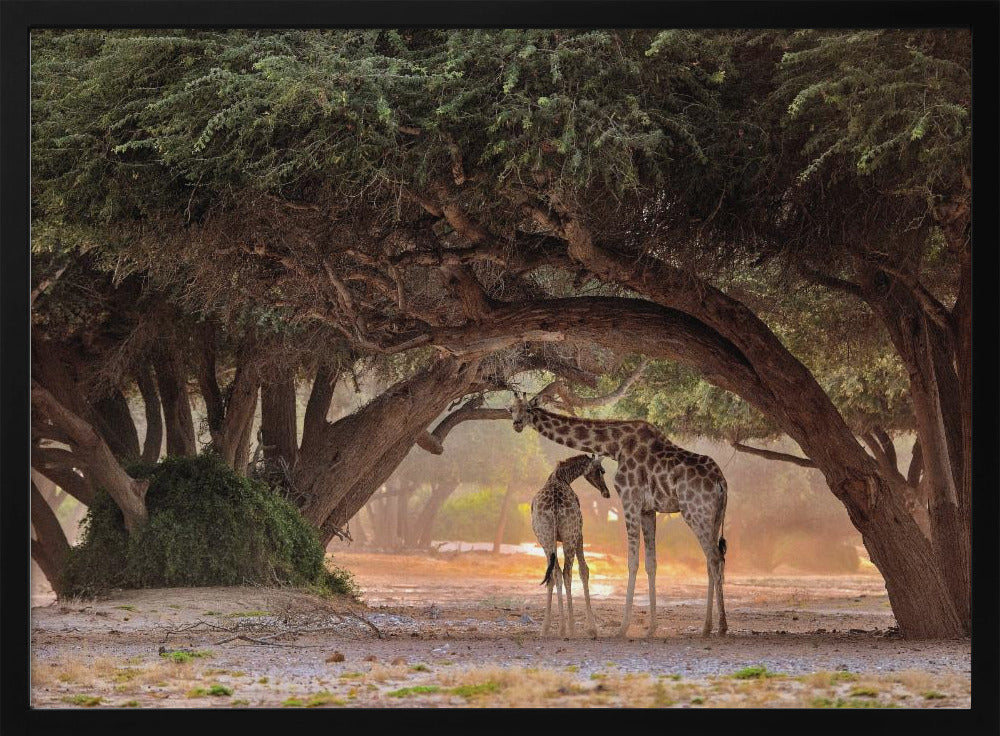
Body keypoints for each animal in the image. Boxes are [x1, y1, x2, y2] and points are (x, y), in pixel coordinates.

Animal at [531, 453, 610, 638]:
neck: (563, 477)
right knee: (567, 573)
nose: (606, 492)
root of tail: (554, 506)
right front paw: (591, 627)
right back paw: (571, 628)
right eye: (601, 470)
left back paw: (555, 628)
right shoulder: (580, 534)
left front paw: (550, 627)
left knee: (555, 573)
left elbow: (554, 576)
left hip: (546, 539)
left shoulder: (551, 540)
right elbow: (584, 571)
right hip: (570, 536)